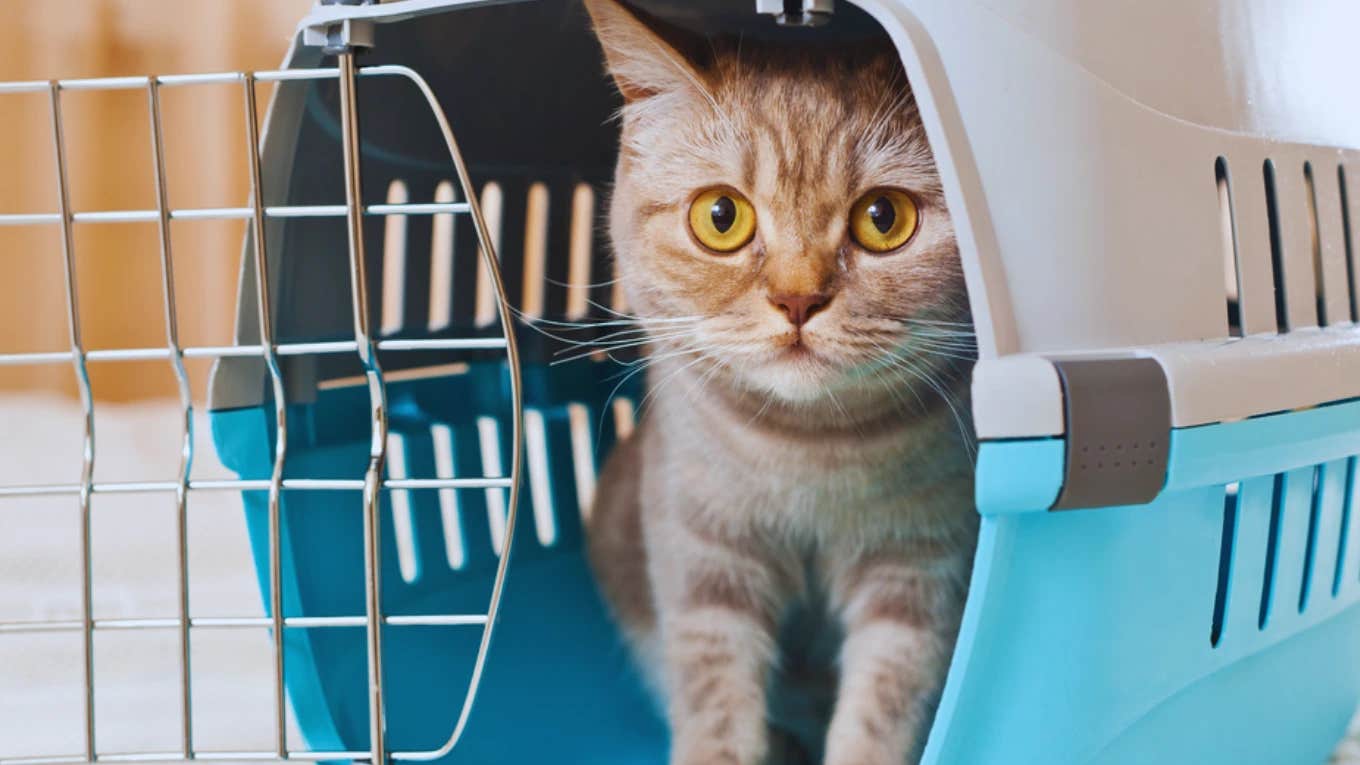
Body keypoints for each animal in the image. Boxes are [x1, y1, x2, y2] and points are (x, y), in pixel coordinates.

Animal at [582, 2, 979, 756]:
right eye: (720, 216)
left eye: (884, 218)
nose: (797, 299)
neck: (810, 452)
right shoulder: (704, 565)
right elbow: (714, 709)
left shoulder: (921, 574)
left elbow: (882, 713)